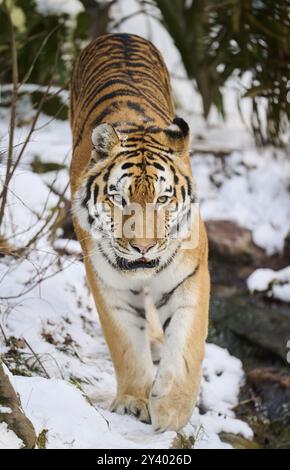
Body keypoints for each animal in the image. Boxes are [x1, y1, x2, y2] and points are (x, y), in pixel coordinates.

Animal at [70, 32, 211, 430]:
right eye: (120, 198)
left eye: (163, 199)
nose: (144, 248)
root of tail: (118, 34)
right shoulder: (108, 282)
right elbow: (125, 344)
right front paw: (135, 401)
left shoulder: (191, 275)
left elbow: (187, 343)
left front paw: (173, 408)